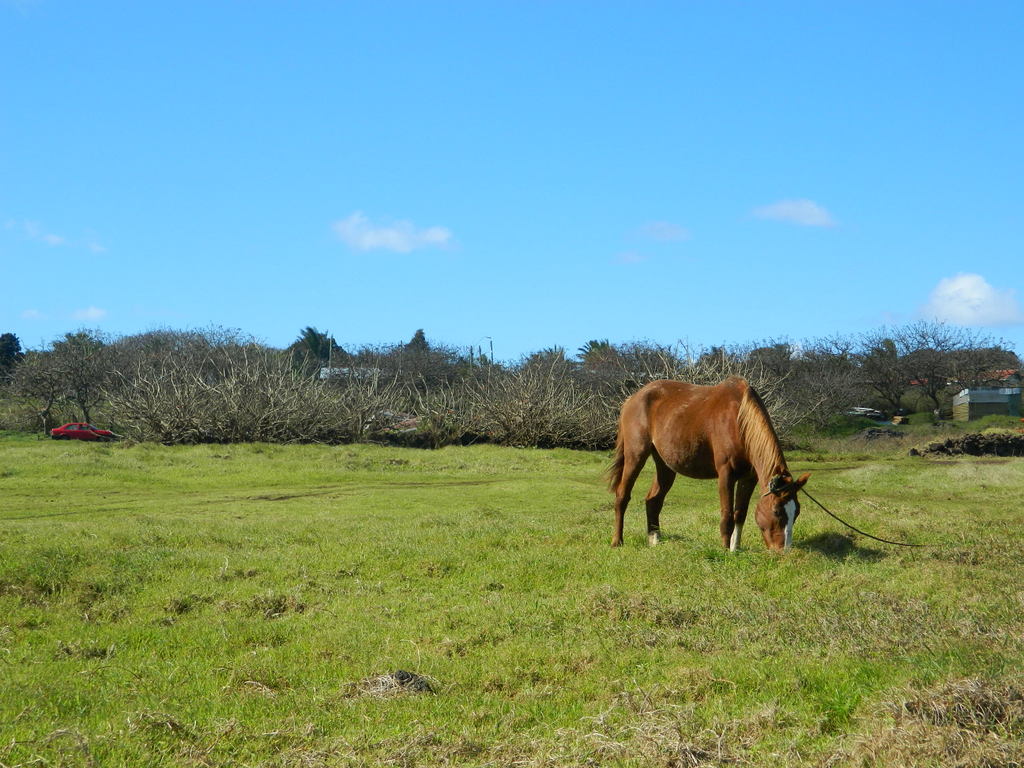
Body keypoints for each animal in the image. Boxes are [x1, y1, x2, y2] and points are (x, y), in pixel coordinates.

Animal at [606, 376, 806, 548]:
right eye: (777, 511)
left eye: (797, 512)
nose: (783, 550)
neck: (738, 419)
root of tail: (632, 399)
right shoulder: (726, 474)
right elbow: (727, 516)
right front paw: (725, 551)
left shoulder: (749, 478)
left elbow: (740, 514)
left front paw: (735, 549)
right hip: (635, 455)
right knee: (622, 495)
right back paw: (617, 541)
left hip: (665, 465)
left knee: (653, 500)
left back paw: (654, 539)